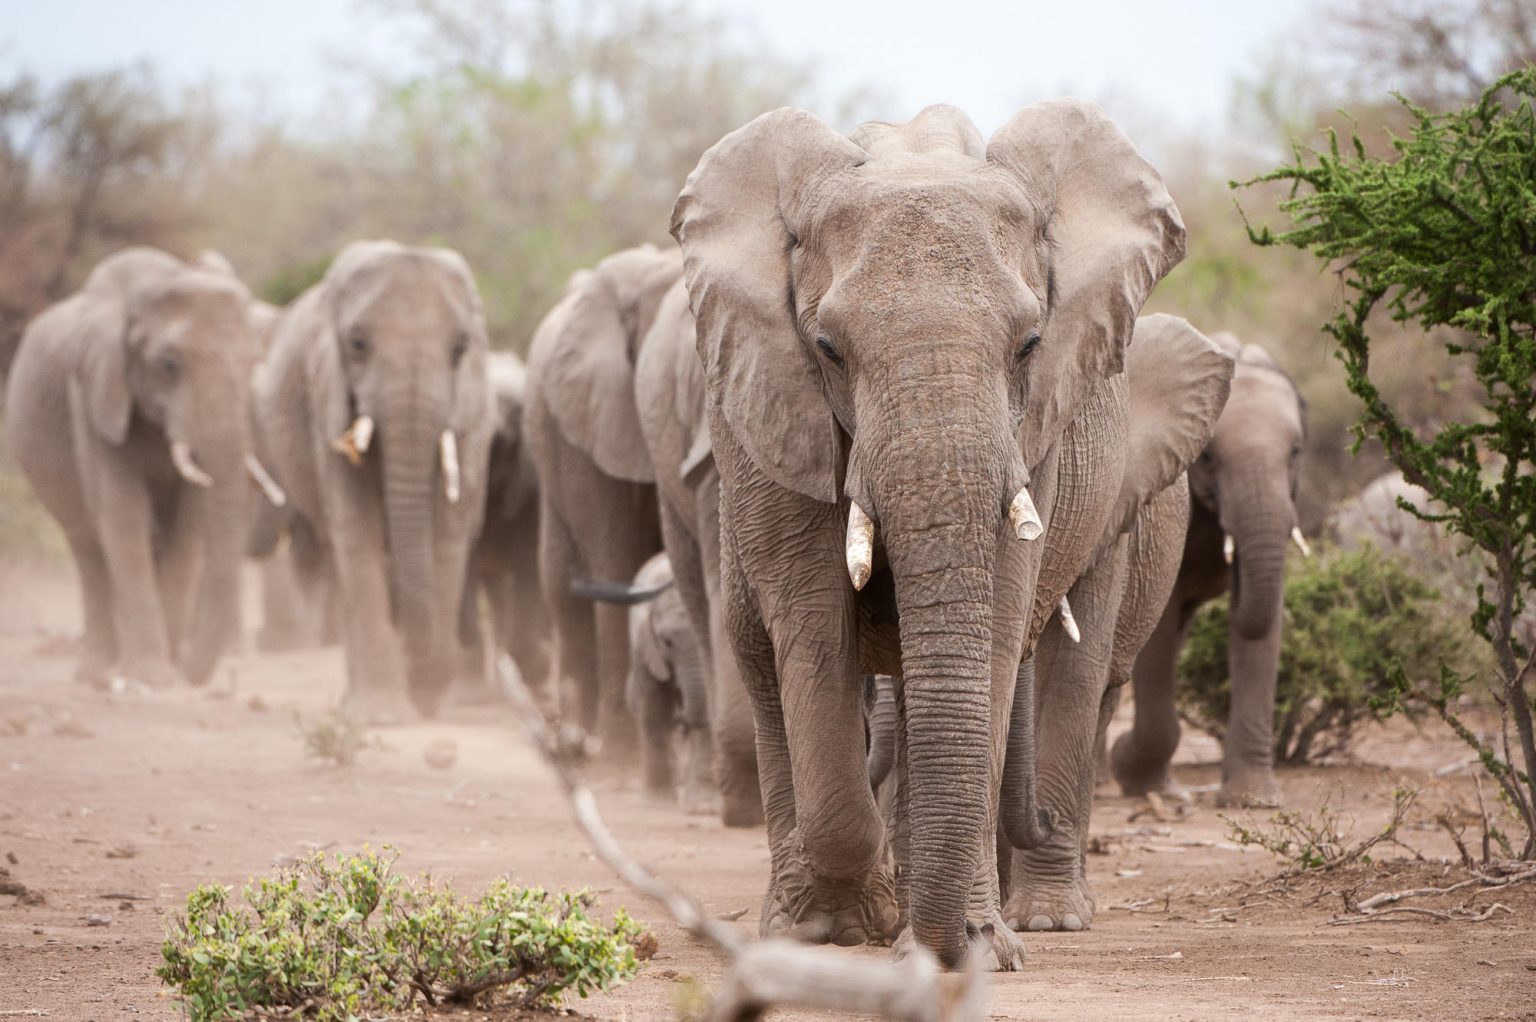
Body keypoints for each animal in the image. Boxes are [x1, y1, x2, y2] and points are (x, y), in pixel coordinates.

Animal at [4, 246, 275, 688]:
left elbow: (187, 530)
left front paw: (166, 673)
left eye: (253, 362)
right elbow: (123, 516)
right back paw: (99, 671)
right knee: (90, 549)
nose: (191, 674)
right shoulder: (94, 395)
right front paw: (152, 676)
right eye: (169, 363)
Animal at [253, 240, 494, 722]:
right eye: (358, 344)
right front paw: (383, 715)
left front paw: (425, 697)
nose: (426, 679)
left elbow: (448, 533)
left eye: (461, 347)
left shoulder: (468, 419)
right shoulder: (325, 399)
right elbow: (357, 528)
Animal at [670, 101, 1216, 968]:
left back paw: (1036, 917)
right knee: (760, 652)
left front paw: (975, 948)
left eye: (1029, 344)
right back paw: (810, 925)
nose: (938, 952)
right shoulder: (777, 414)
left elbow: (992, 633)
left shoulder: (1037, 434)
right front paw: (857, 923)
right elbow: (812, 626)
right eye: (828, 349)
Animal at [1110, 333, 1306, 807]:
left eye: (1296, 452)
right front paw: (1129, 770)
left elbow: (1260, 624)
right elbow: (1161, 625)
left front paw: (1254, 800)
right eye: (1210, 457)